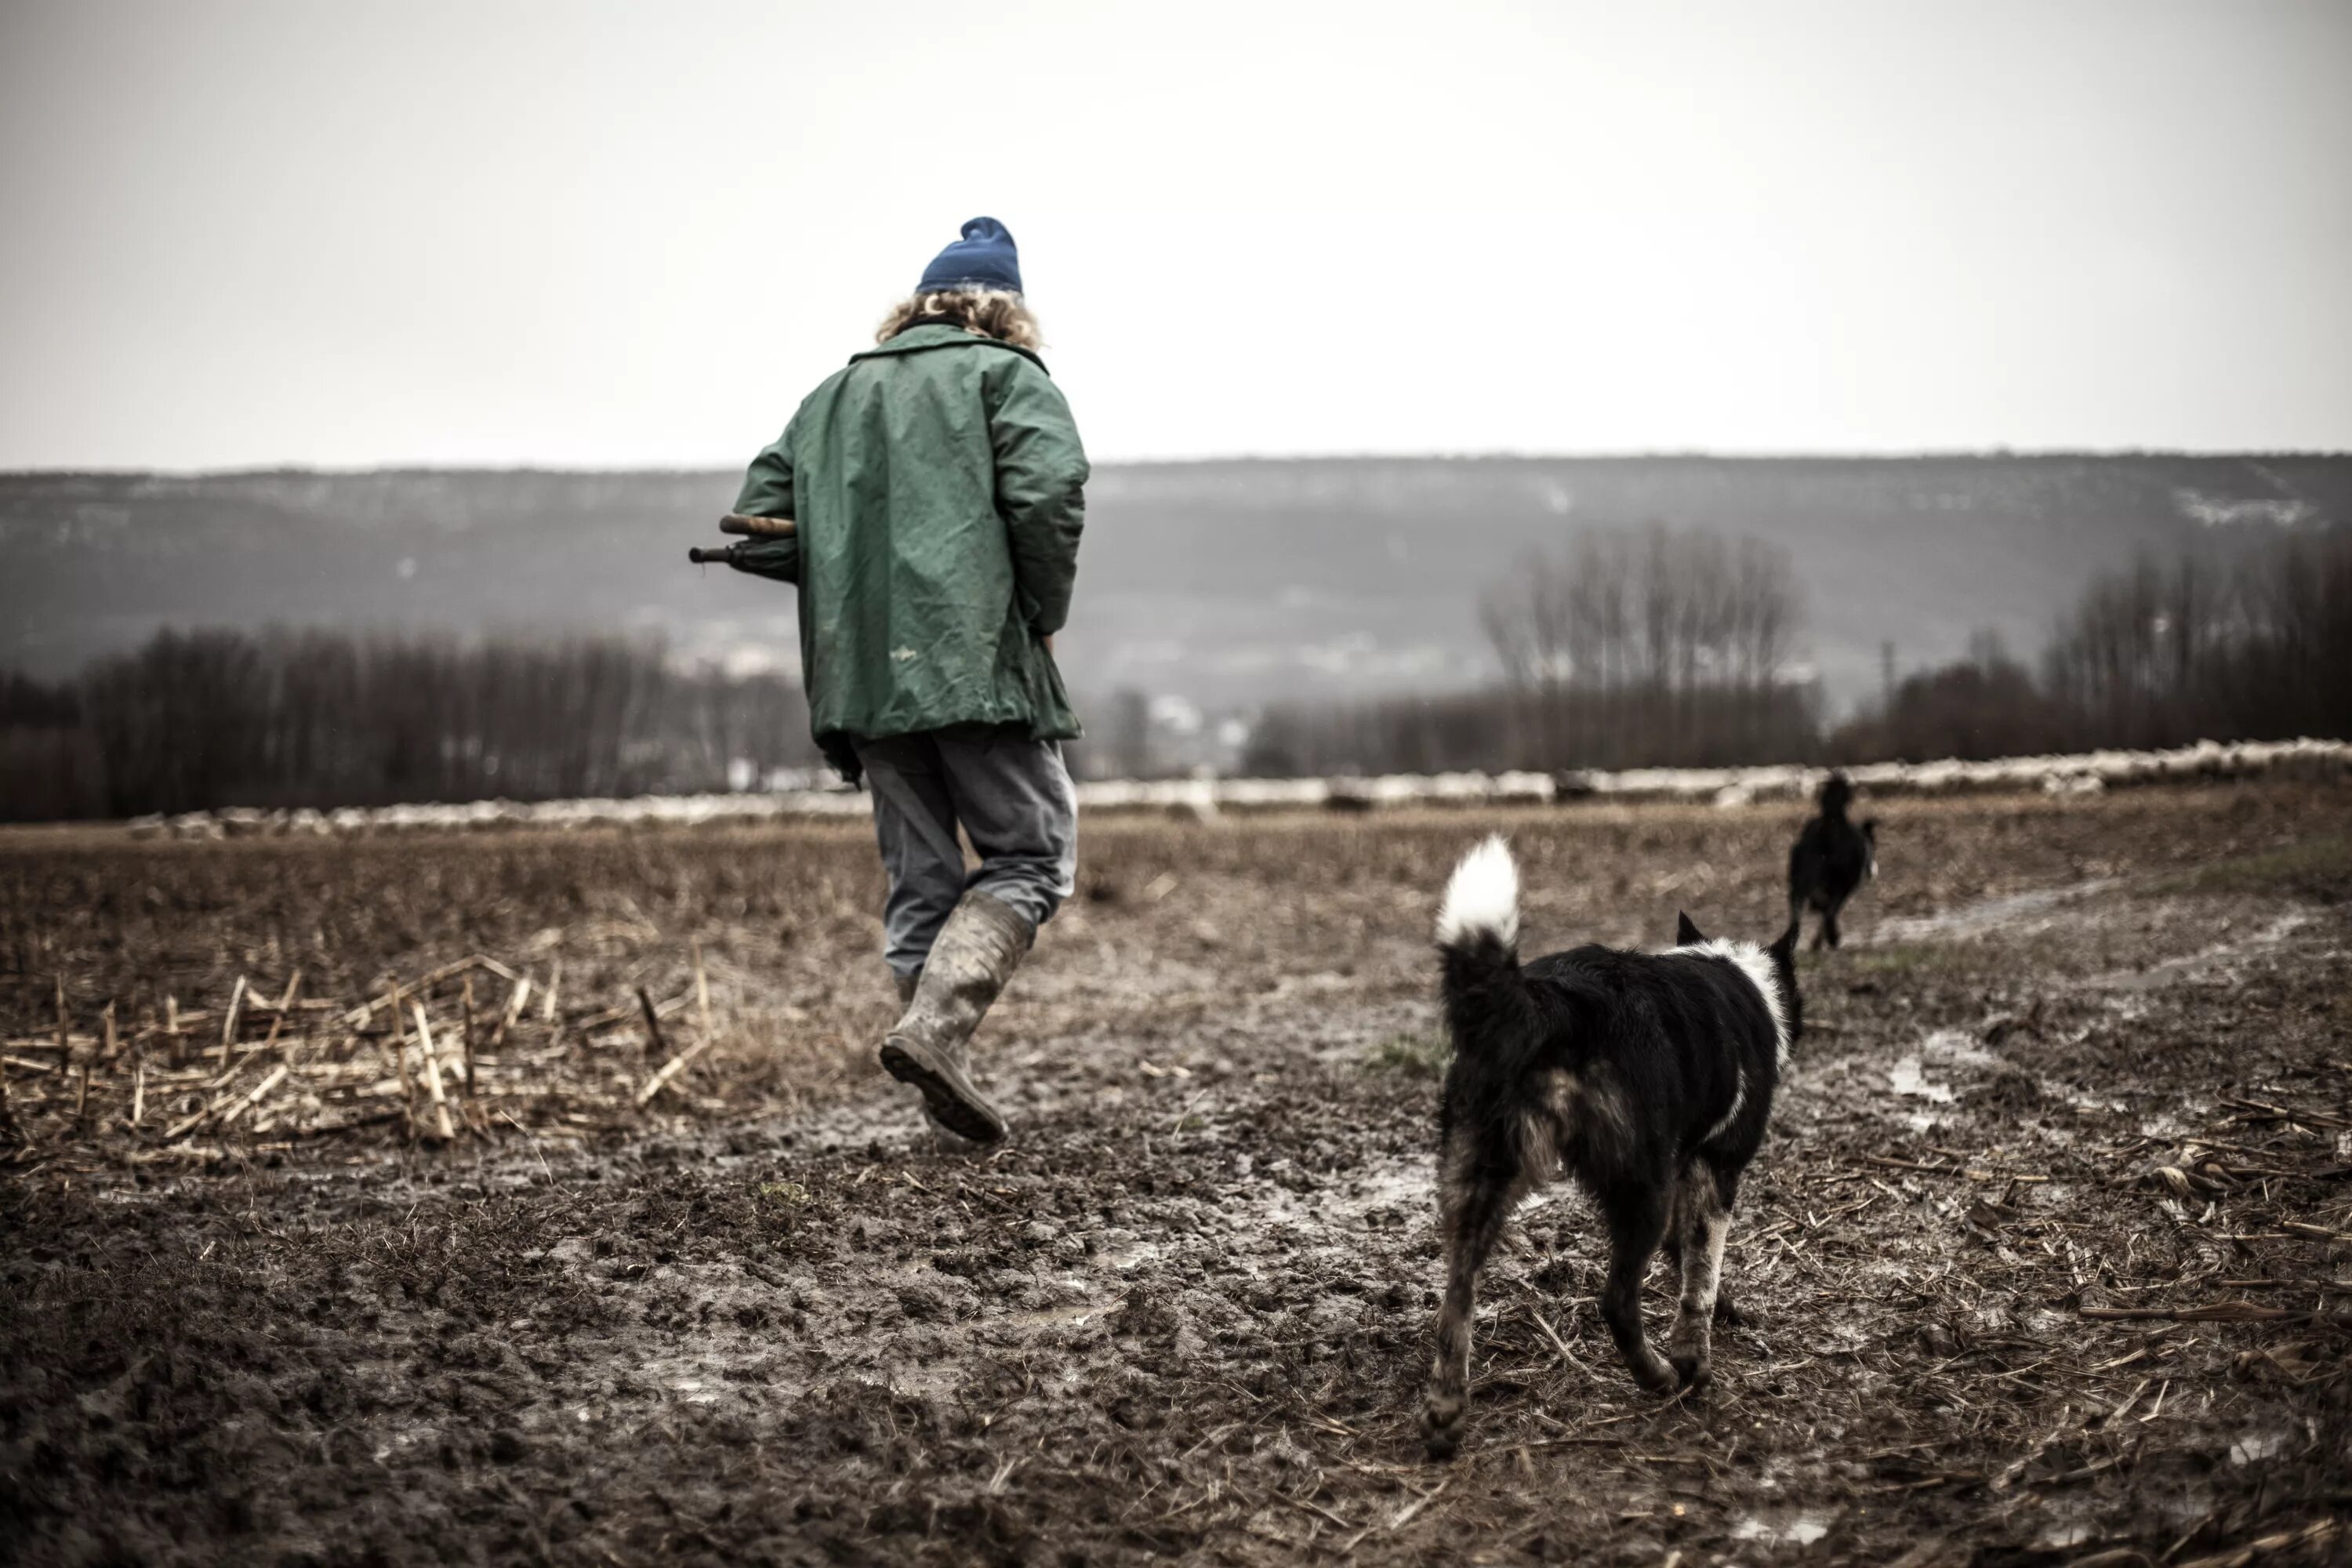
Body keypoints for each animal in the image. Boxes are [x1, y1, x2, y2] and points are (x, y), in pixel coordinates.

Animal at [1411, 841, 1797, 1467]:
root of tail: (1554, 1003)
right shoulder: (1714, 1168)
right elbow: (1702, 1273)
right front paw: (1694, 1356)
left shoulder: (1685, 1170)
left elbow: (1686, 1257)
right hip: (1641, 1189)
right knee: (1616, 1302)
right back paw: (1659, 1377)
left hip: (1477, 1179)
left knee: (1455, 1302)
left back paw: (1445, 1415)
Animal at [1788, 775, 1882, 949]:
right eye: (1873, 850)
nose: (1874, 871)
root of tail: (1830, 825)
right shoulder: (1845, 887)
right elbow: (1829, 913)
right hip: (1841, 884)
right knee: (1830, 913)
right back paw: (1831, 939)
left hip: (1798, 880)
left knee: (1796, 912)